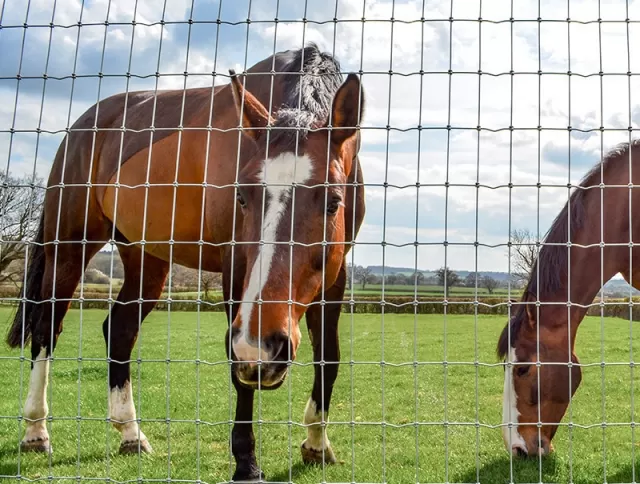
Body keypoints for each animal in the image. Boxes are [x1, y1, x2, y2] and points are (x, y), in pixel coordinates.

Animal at [5, 43, 366, 482]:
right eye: (241, 196)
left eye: (333, 201)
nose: (267, 348)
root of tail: (86, 123)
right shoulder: (235, 270)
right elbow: (238, 367)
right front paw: (246, 462)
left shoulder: (335, 273)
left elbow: (328, 356)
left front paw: (317, 443)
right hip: (70, 248)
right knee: (46, 329)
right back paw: (35, 430)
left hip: (145, 259)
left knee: (119, 328)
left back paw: (130, 433)